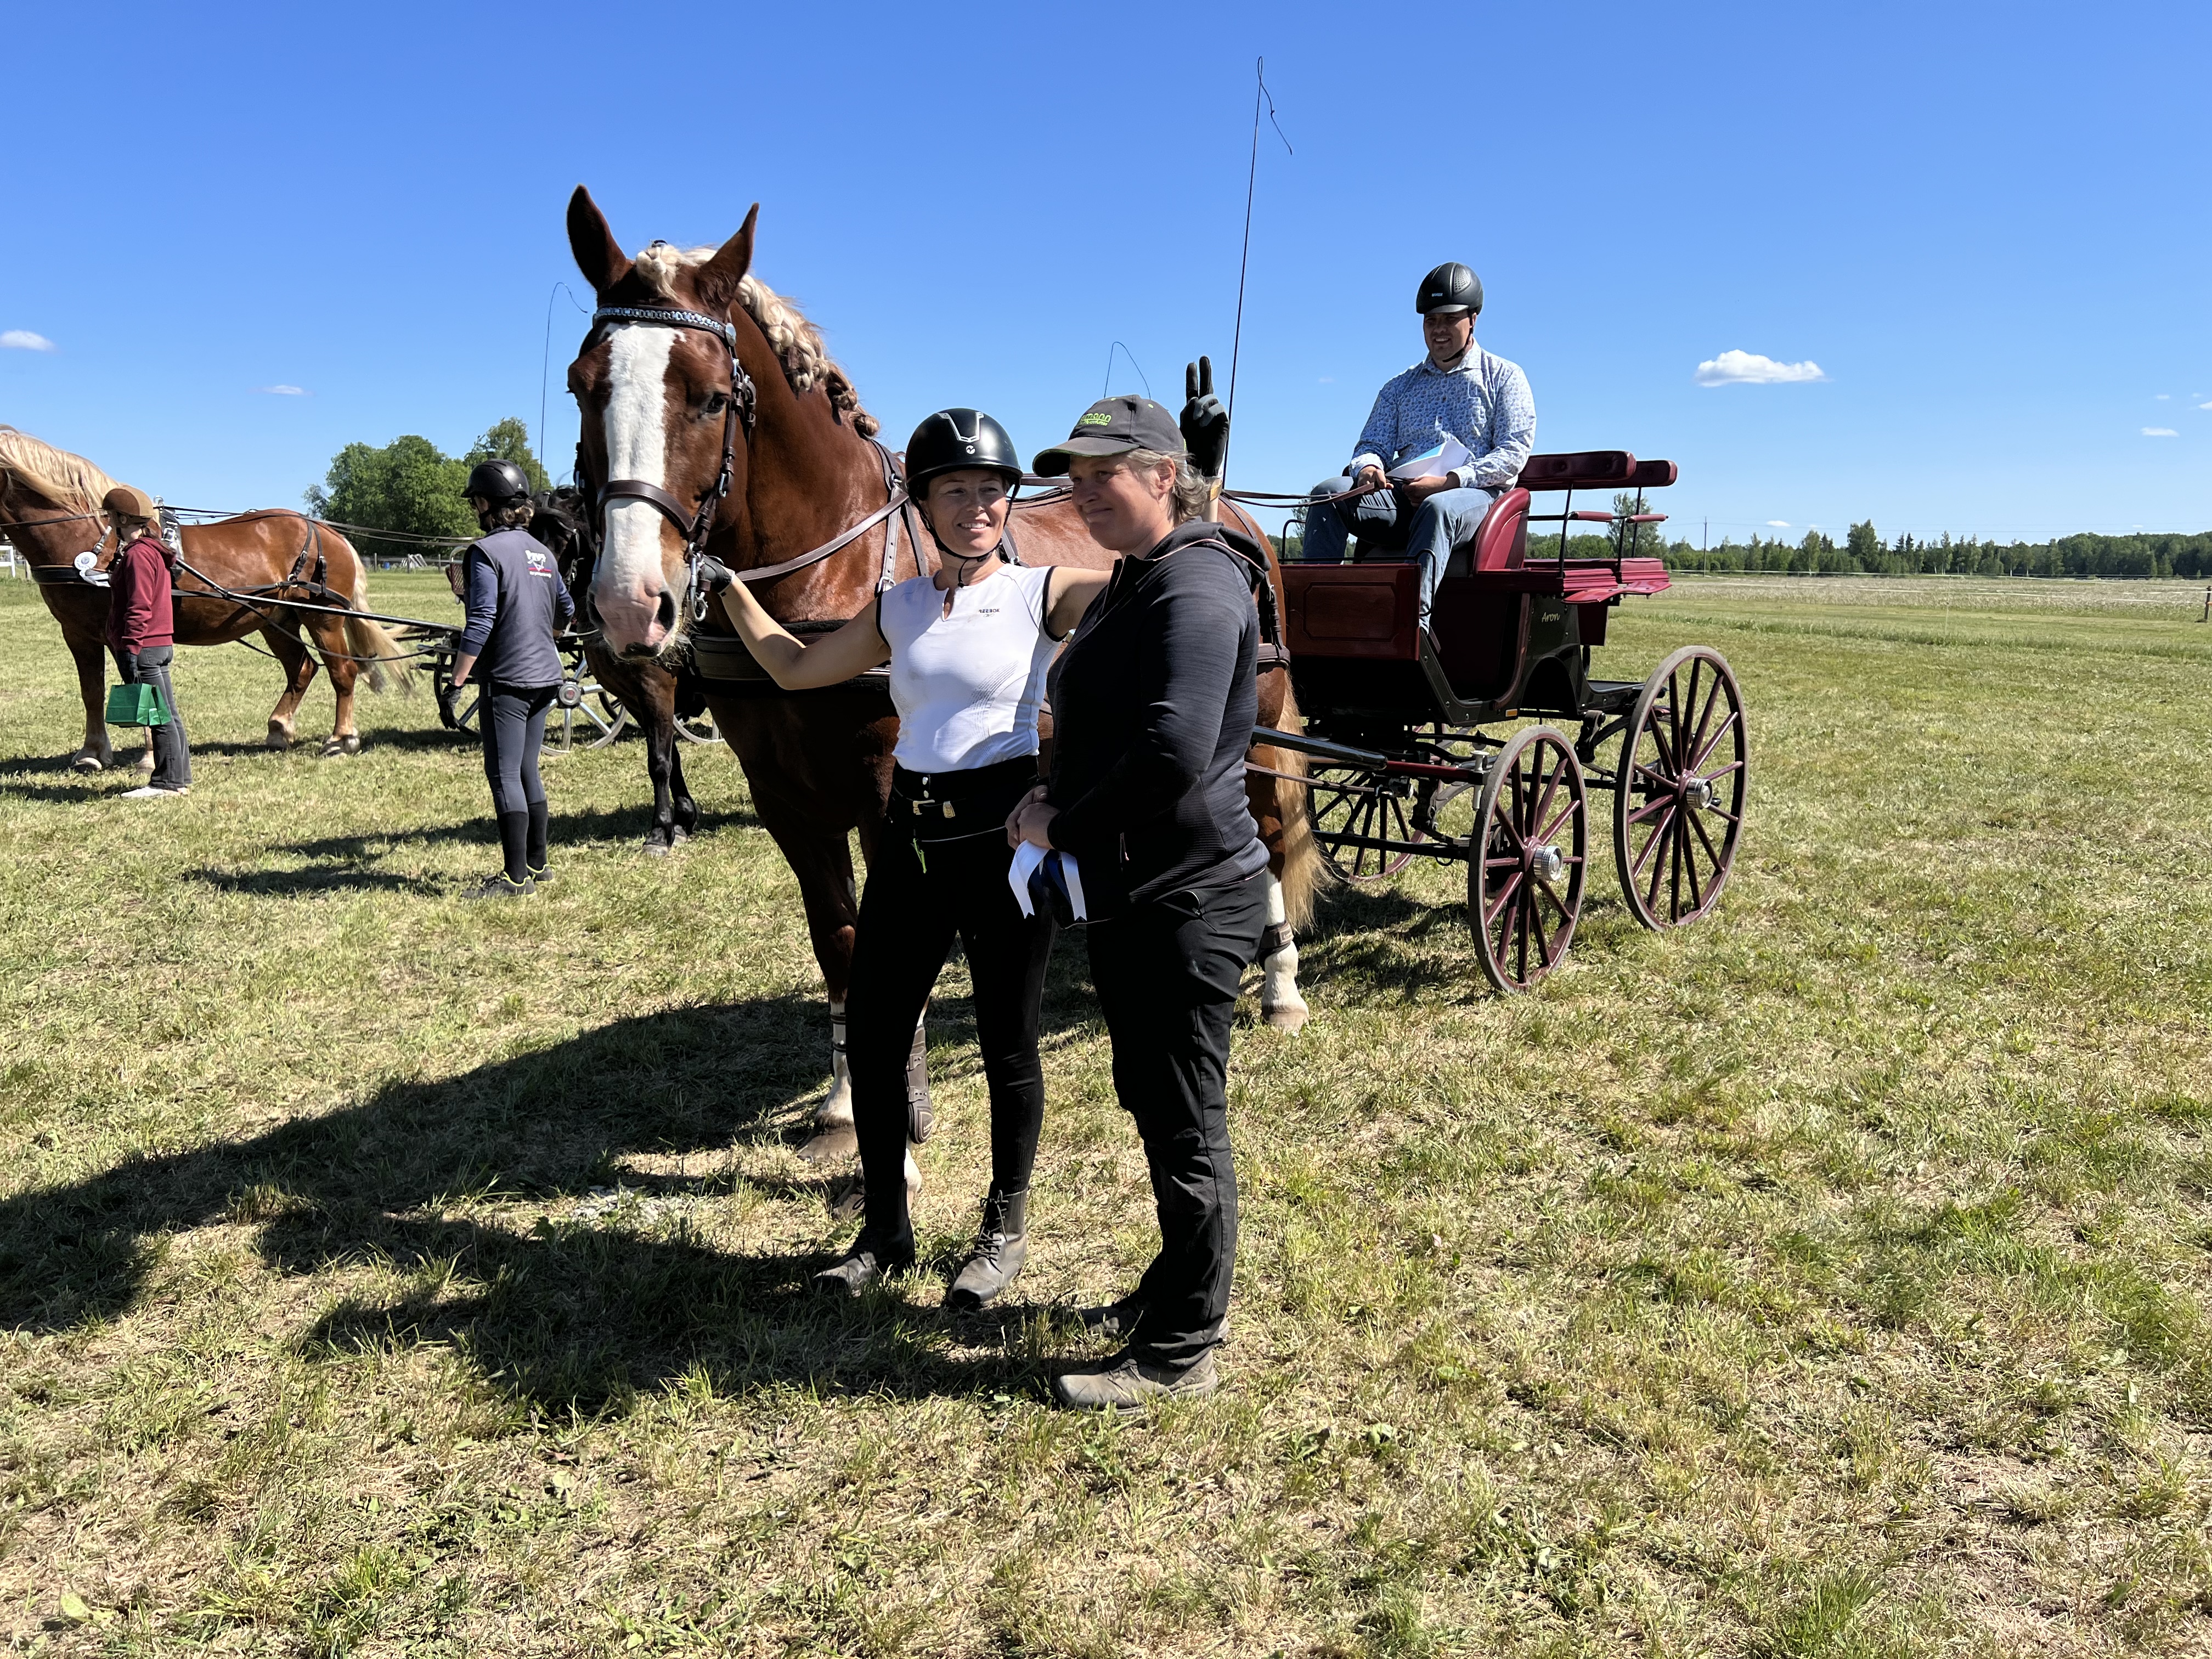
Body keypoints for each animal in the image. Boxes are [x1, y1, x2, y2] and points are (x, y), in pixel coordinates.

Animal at [0, 425, 411, 770]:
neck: (96, 541)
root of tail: (328, 531)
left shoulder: (125, 631)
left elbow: (139, 686)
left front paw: (148, 757)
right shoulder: (78, 634)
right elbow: (92, 691)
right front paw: (92, 752)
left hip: (322, 616)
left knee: (343, 671)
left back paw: (342, 739)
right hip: (276, 620)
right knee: (303, 668)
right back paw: (279, 729)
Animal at [571, 184, 1318, 1141]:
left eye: (706, 398)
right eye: (582, 386)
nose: (631, 604)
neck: (833, 562)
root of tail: (1219, 500)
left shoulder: (888, 792)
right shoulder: (787, 803)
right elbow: (840, 942)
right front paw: (846, 1098)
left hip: (1255, 729)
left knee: (1267, 832)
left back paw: (1281, 983)